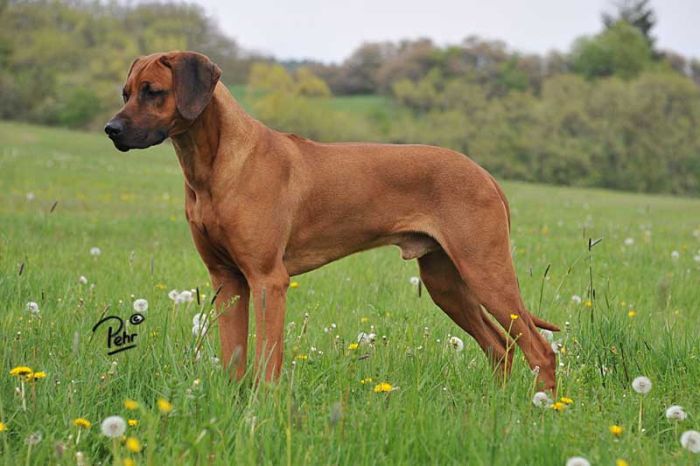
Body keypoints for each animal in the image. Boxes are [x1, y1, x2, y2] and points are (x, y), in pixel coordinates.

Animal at [105, 51, 556, 390]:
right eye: (125, 92)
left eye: (153, 92)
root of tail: (486, 175)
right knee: (500, 347)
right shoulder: (226, 279)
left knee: (540, 350)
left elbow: (268, 358)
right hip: (445, 281)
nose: (111, 129)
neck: (215, 165)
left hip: (485, 270)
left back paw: (538, 414)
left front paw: (263, 412)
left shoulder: (268, 280)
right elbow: (234, 358)